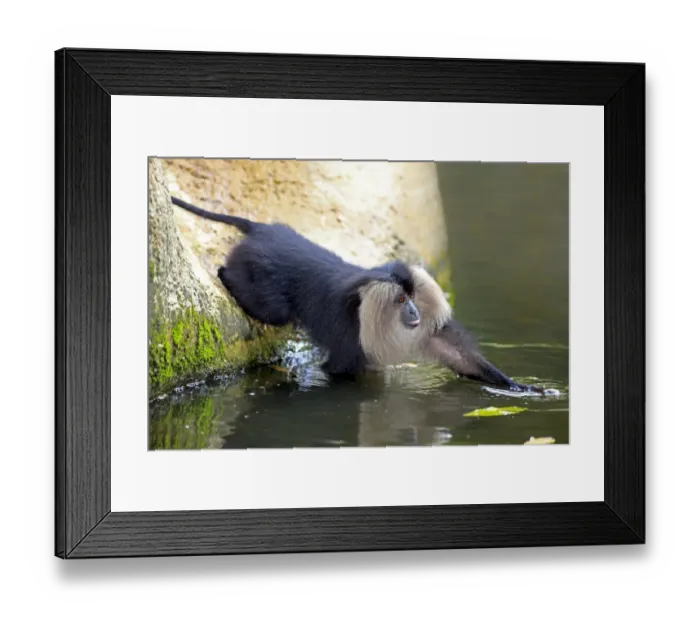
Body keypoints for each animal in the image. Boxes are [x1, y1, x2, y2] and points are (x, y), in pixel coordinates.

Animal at [170, 196, 544, 393]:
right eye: (400, 300)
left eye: (412, 296)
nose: (414, 313)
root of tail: (263, 230)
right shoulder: (351, 333)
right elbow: (340, 369)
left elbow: (460, 357)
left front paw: (527, 389)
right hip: (258, 271)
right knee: (270, 308)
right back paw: (224, 275)